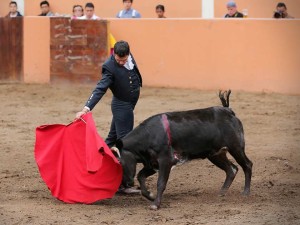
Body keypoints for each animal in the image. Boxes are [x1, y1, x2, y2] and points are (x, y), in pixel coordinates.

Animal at [116, 90, 252, 210]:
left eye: (120, 162)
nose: (125, 183)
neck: (149, 135)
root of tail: (228, 111)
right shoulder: (152, 164)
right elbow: (140, 176)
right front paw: (150, 196)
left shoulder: (166, 161)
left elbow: (161, 183)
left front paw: (156, 204)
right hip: (215, 154)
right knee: (231, 169)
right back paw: (222, 192)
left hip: (236, 147)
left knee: (247, 165)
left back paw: (245, 192)